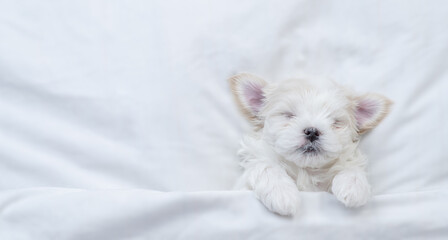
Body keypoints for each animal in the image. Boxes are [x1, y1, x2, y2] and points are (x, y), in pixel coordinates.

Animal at [229, 73, 390, 216]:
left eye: (336, 122)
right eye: (289, 115)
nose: (312, 131)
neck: (307, 171)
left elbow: (351, 167)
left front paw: (353, 187)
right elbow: (266, 167)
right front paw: (282, 194)